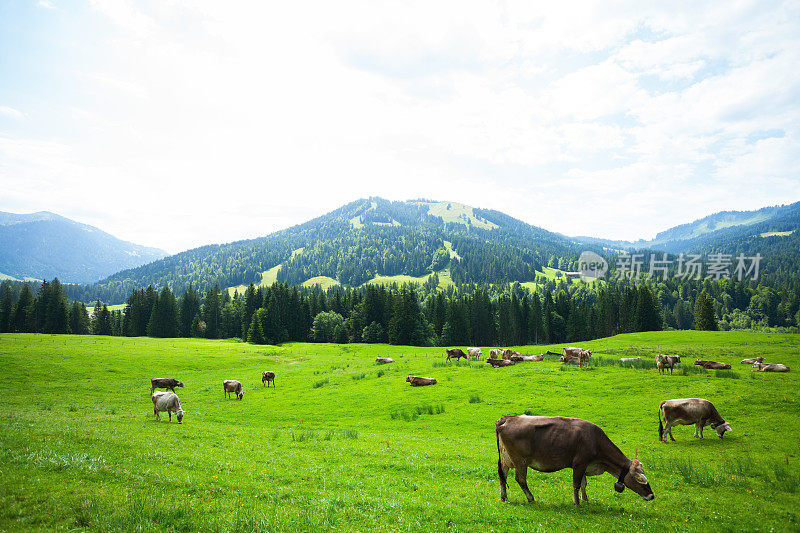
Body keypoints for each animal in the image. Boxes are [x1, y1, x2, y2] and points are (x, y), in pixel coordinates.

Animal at [494, 414, 656, 504]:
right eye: (640, 479)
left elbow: (584, 484)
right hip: (520, 460)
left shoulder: (585, 465)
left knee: (503, 476)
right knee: (520, 479)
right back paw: (531, 498)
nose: (652, 495)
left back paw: (504, 497)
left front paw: (585, 500)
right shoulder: (580, 463)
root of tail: (507, 418)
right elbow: (577, 484)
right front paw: (576, 502)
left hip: (506, 459)